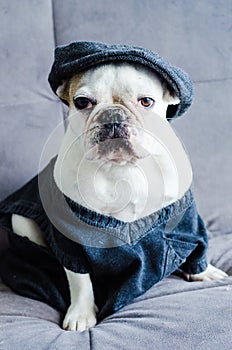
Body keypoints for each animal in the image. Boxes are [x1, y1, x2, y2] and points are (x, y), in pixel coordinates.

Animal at [8, 58, 227, 332]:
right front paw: (81, 314)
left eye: (146, 101)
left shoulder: (185, 218)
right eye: (82, 102)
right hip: (21, 222)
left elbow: (198, 246)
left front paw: (203, 272)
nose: (112, 114)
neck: (122, 167)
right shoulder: (69, 241)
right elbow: (79, 278)